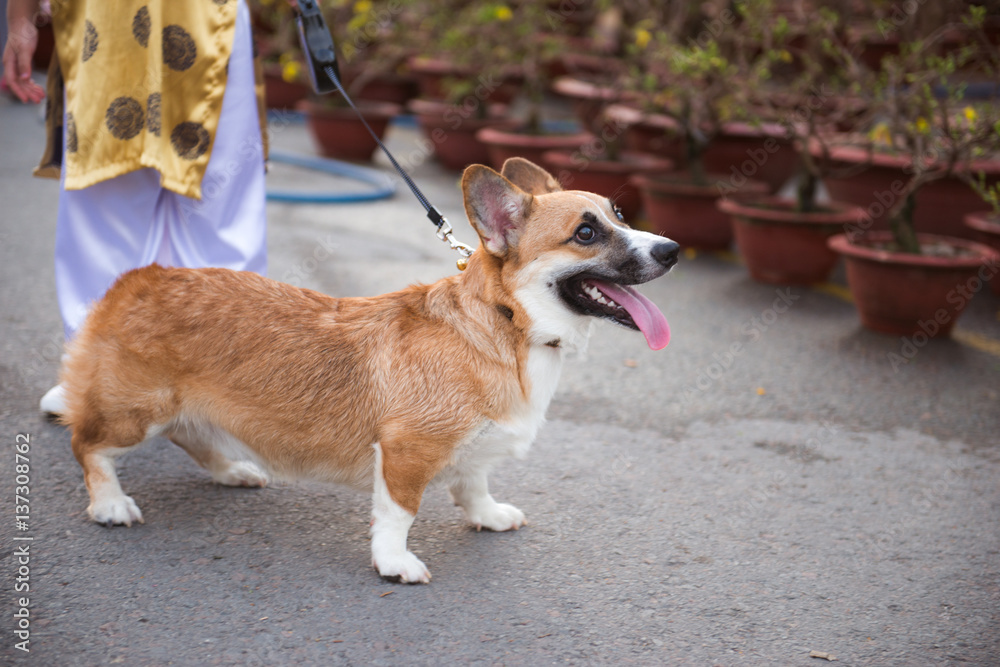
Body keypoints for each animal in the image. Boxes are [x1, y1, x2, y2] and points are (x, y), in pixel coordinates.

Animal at [60, 159, 680, 580]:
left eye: (620, 214)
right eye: (585, 233)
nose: (672, 249)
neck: (508, 324)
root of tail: (138, 277)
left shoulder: (470, 450)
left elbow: (474, 483)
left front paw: (488, 514)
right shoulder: (407, 450)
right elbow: (399, 513)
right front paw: (394, 562)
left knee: (194, 437)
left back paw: (234, 470)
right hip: (137, 413)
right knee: (88, 445)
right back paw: (109, 503)